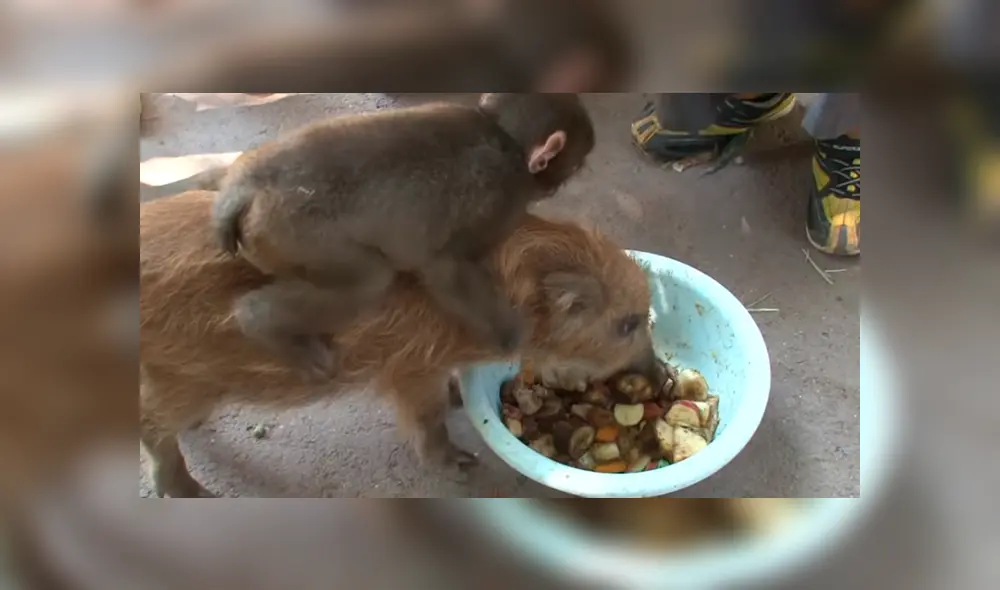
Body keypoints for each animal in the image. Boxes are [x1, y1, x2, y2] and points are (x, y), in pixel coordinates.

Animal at [212, 93, 595, 378]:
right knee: (368, 281)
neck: (503, 135)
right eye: (576, 164)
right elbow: (446, 268)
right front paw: (512, 336)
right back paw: (259, 322)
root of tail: (247, 186)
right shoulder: (503, 198)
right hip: (293, 233)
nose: (561, 182)